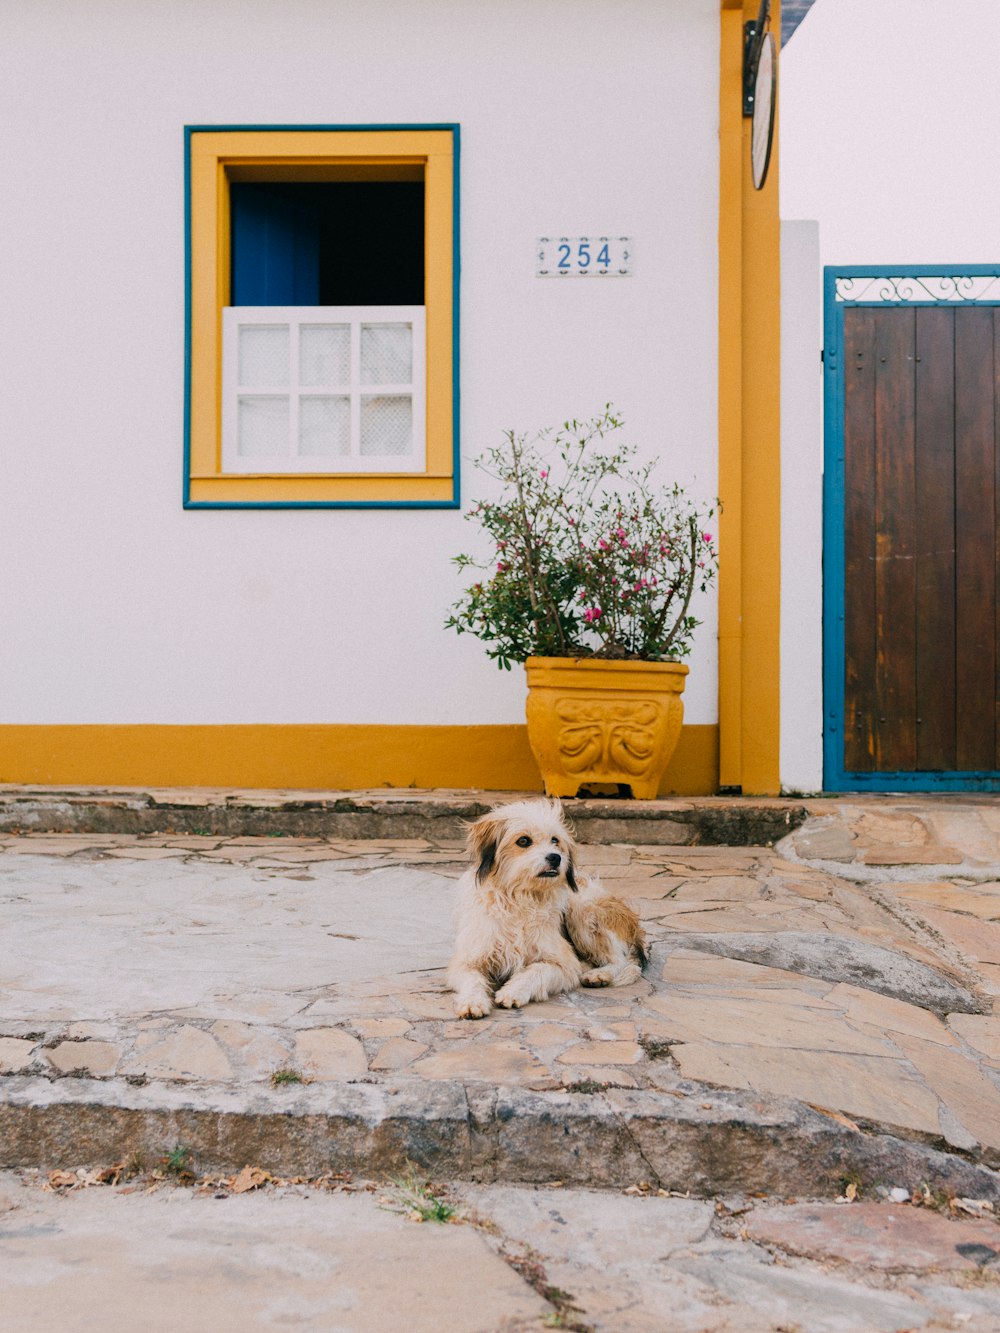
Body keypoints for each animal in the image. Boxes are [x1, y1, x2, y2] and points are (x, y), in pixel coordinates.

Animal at [448, 799, 650, 1018]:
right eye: (523, 841)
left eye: (555, 840)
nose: (555, 857)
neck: (520, 899)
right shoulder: (469, 958)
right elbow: (472, 979)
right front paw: (472, 1001)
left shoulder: (564, 964)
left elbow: (537, 970)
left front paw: (513, 991)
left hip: (581, 909)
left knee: (619, 959)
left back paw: (600, 974)